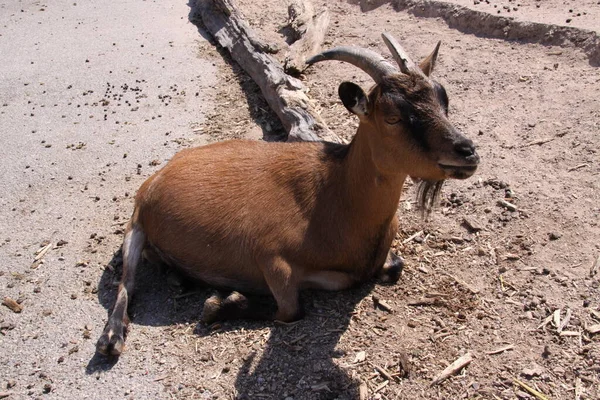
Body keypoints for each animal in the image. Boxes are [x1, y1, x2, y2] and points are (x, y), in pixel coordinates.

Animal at [99, 32, 482, 354]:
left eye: (443, 100)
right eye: (391, 117)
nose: (467, 152)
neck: (334, 197)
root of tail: (157, 178)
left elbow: (393, 267)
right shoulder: (271, 257)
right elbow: (290, 309)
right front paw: (221, 304)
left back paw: (179, 277)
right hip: (135, 227)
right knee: (126, 282)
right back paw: (112, 338)